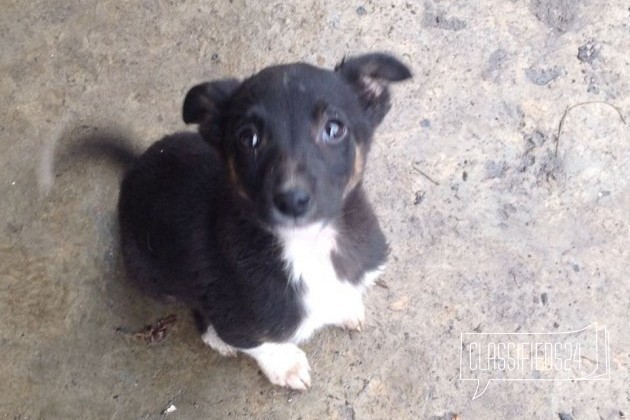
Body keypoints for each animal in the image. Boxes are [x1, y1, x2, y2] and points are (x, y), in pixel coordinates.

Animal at [118, 53, 414, 390]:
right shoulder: (233, 316)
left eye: (334, 129)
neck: (309, 246)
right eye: (248, 138)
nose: (292, 200)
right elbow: (259, 343)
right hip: (155, 276)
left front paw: (344, 304)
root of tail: (133, 166)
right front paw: (285, 365)